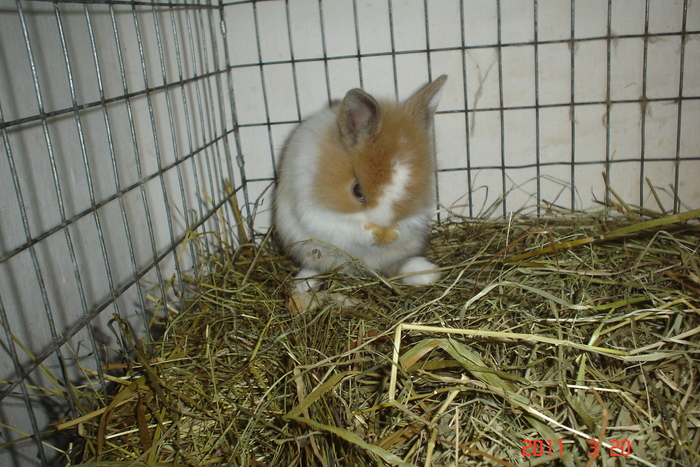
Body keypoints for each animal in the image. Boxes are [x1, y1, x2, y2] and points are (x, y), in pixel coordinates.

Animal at [274, 75, 448, 290]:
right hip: (309, 249)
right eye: (357, 190)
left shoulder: (416, 218)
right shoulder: (315, 213)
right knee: (316, 267)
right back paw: (300, 287)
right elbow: (342, 228)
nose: (383, 227)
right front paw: (370, 233)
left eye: (411, 192)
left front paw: (394, 232)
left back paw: (425, 273)